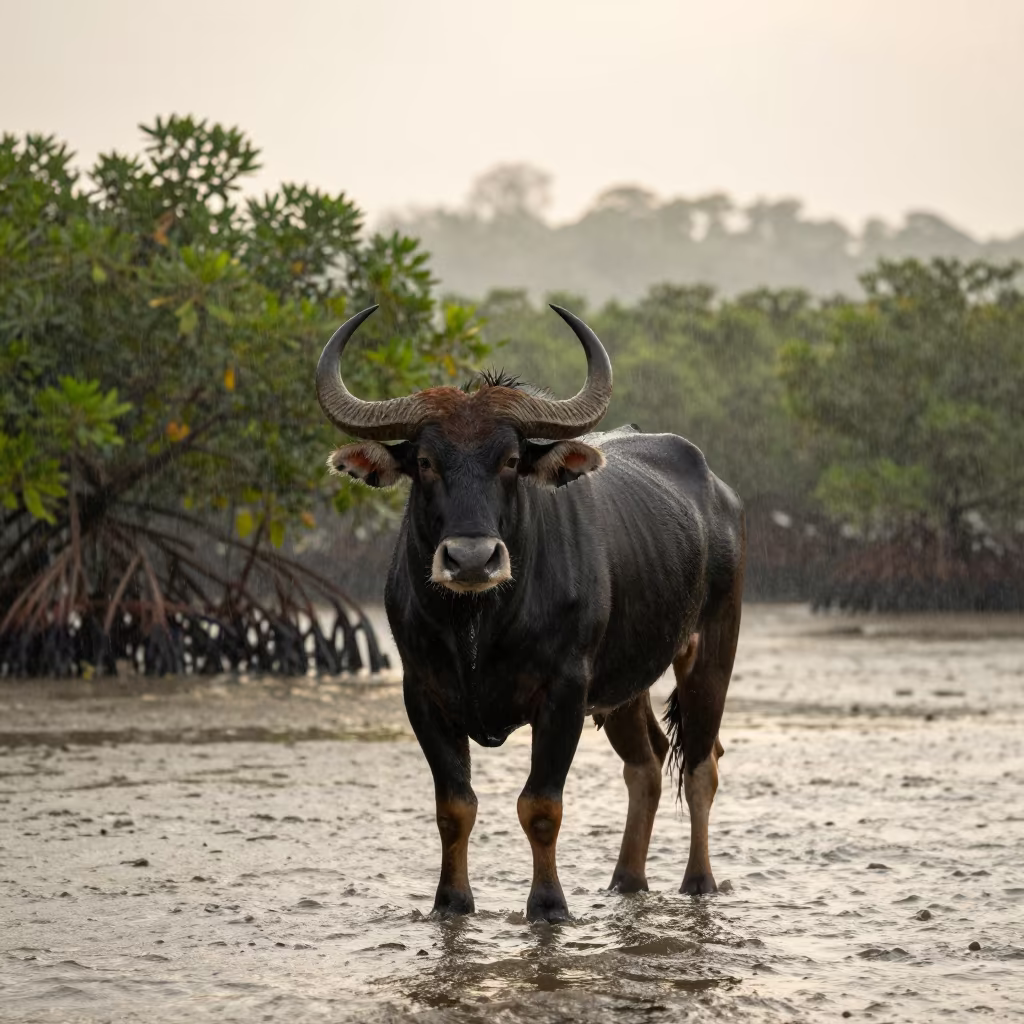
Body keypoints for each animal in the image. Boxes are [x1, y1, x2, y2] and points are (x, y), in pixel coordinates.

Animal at [316, 304, 745, 922]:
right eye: (424, 461)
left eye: (512, 460)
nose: (472, 558)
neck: (480, 626)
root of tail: (719, 494)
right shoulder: (422, 691)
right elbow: (454, 806)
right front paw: (452, 901)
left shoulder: (564, 690)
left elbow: (541, 805)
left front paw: (548, 904)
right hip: (624, 685)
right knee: (646, 765)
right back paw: (626, 881)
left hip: (711, 650)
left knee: (701, 765)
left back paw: (699, 881)